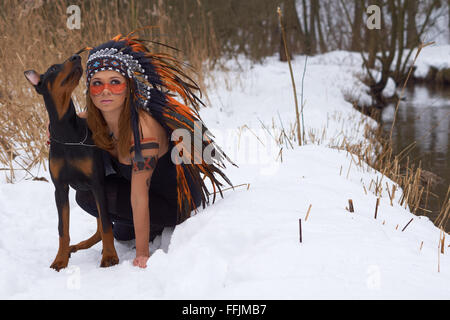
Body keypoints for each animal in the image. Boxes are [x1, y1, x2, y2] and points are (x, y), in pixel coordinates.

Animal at [24, 55, 118, 270]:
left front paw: (110, 256)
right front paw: (60, 259)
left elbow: (106, 224)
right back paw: (76, 247)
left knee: (105, 224)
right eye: (52, 68)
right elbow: (62, 228)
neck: (66, 131)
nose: (76, 56)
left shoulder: (97, 183)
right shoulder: (60, 188)